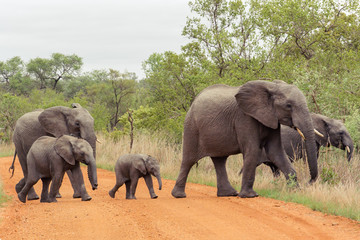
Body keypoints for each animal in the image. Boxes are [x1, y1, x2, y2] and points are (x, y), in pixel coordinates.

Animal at [172, 80, 318, 199]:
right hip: (191, 127)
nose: (308, 182)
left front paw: (296, 191)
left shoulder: (271, 118)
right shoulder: (244, 117)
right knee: (189, 160)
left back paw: (229, 194)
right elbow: (252, 150)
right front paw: (250, 196)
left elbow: (276, 151)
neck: (271, 86)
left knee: (220, 161)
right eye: (288, 105)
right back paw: (179, 195)